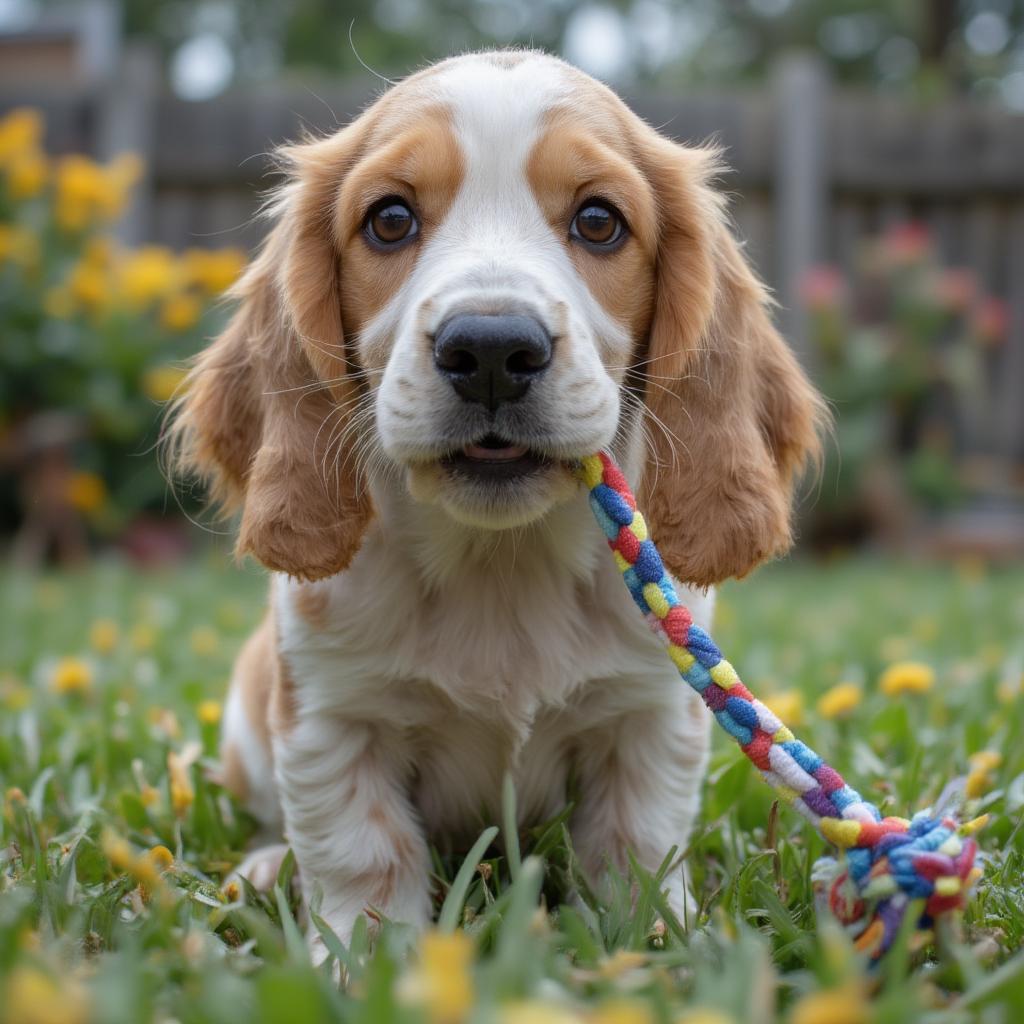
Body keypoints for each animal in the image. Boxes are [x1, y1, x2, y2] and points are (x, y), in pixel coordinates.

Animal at [169, 49, 823, 958]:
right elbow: (363, 852)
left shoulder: (648, 715)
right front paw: (366, 960)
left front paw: (661, 945)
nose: (487, 348)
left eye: (598, 221)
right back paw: (263, 869)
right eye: (389, 219)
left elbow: (637, 844)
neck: (500, 562)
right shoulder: (334, 717)